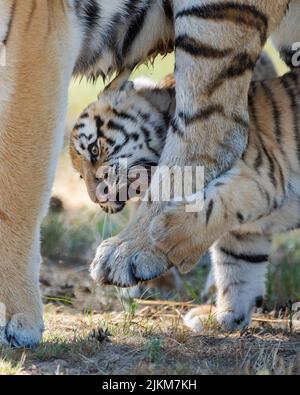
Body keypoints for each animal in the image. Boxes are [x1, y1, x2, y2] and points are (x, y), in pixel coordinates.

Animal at [0, 0, 298, 346]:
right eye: (79, 177)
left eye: (94, 151)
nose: (97, 198)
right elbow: (240, 260)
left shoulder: (35, 38)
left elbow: (16, 191)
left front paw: (14, 317)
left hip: (213, 18)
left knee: (215, 128)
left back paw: (131, 253)